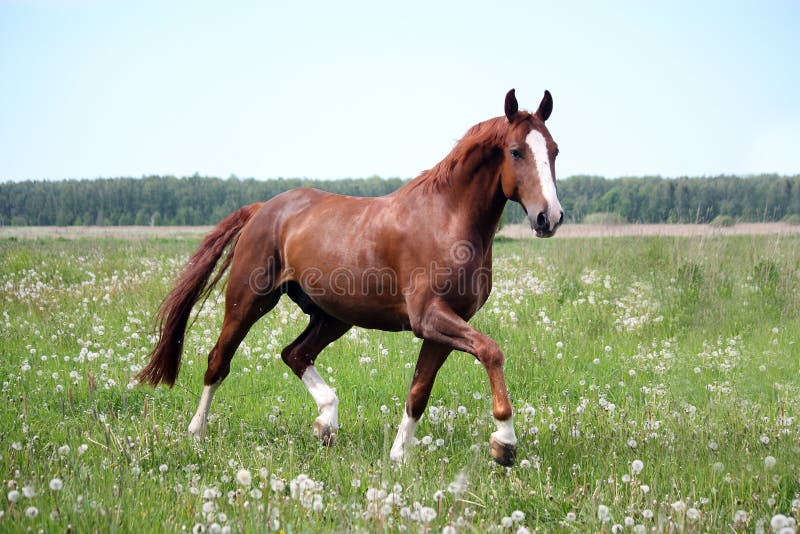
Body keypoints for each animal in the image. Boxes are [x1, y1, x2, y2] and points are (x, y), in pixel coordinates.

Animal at [138, 90, 564, 466]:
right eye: (515, 151)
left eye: (555, 150)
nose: (549, 218)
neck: (446, 219)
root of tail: (263, 209)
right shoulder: (430, 318)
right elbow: (492, 351)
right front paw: (504, 443)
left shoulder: (443, 327)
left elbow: (419, 392)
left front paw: (399, 456)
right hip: (249, 302)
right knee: (218, 360)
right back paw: (197, 434)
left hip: (333, 315)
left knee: (294, 353)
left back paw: (326, 422)